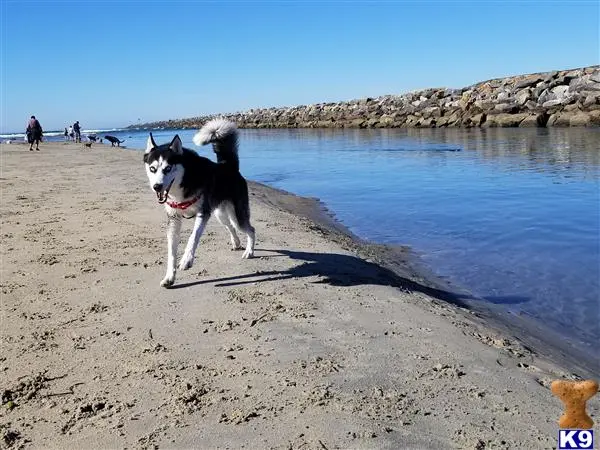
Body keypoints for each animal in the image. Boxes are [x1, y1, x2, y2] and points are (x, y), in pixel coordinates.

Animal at [144, 118, 255, 288]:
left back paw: (249, 251)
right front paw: (169, 277)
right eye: (152, 168)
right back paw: (236, 243)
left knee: (250, 229)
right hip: (220, 214)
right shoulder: (174, 219)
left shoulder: (203, 213)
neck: (182, 185)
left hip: (236, 216)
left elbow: (193, 237)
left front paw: (186, 260)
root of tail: (228, 166)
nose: (157, 186)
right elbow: (171, 252)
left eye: (168, 168)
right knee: (230, 226)